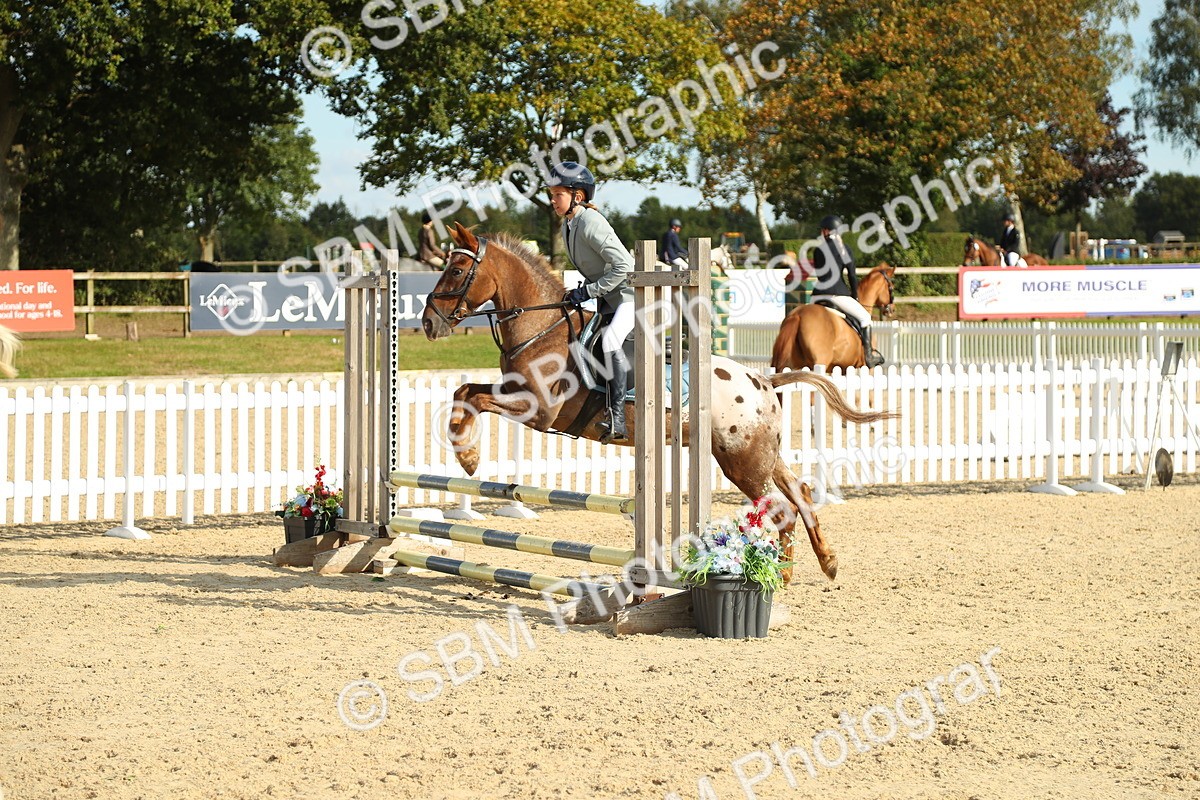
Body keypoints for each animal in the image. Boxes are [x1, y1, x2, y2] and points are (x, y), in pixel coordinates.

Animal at [421, 223, 895, 582]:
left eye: (458, 268)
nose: (428, 322)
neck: (542, 328)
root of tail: (761, 378)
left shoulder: (537, 410)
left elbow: (472, 397)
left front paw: (468, 459)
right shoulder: (519, 397)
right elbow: (464, 392)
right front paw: (467, 456)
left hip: (742, 463)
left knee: (782, 509)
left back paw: (783, 572)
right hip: (757, 456)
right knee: (799, 495)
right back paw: (819, 564)